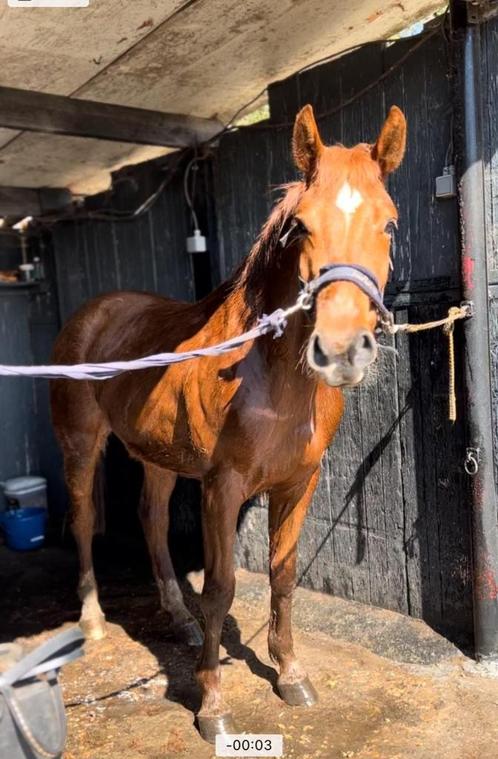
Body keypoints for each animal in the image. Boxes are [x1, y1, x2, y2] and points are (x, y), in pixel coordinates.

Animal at [50, 104, 404, 744]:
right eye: (301, 228)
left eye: (388, 225)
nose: (340, 350)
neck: (270, 379)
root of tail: (92, 314)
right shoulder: (222, 488)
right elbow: (221, 590)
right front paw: (211, 704)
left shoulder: (299, 485)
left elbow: (283, 577)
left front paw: (290, 674)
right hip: (81, 445)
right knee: (85, 520)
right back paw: (91, 620)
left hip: (157, 456)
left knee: (152, 521)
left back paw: (176, 616)